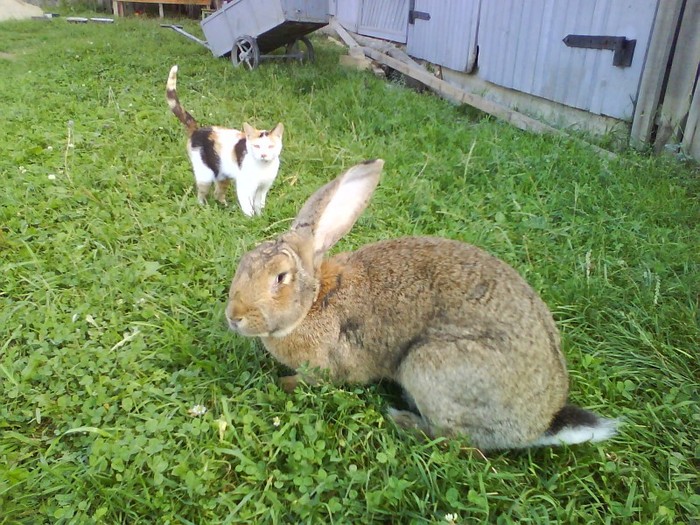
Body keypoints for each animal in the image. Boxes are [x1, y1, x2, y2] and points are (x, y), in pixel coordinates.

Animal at [166, 65, 284, 216]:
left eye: (270, 146)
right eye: (256, 146)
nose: (263, 155)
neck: (263, 167)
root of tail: (198, 129)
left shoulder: (263, 189)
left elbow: (259, 205)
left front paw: (261, 217)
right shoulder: (245, 186)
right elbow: (248, 207)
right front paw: (251, 219)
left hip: (222, 175)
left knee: (218, 193)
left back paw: (225, 207)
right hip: (205, 174)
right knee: (201, 195)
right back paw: (204, 208)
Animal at [225, 159, 618, 450]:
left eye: (280, 278)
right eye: (244, 262)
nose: (234, 317)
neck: (315, 301)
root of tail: (540, 424)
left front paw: (283, 382)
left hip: (428, 365)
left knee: (456, 440)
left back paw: (402, 418)